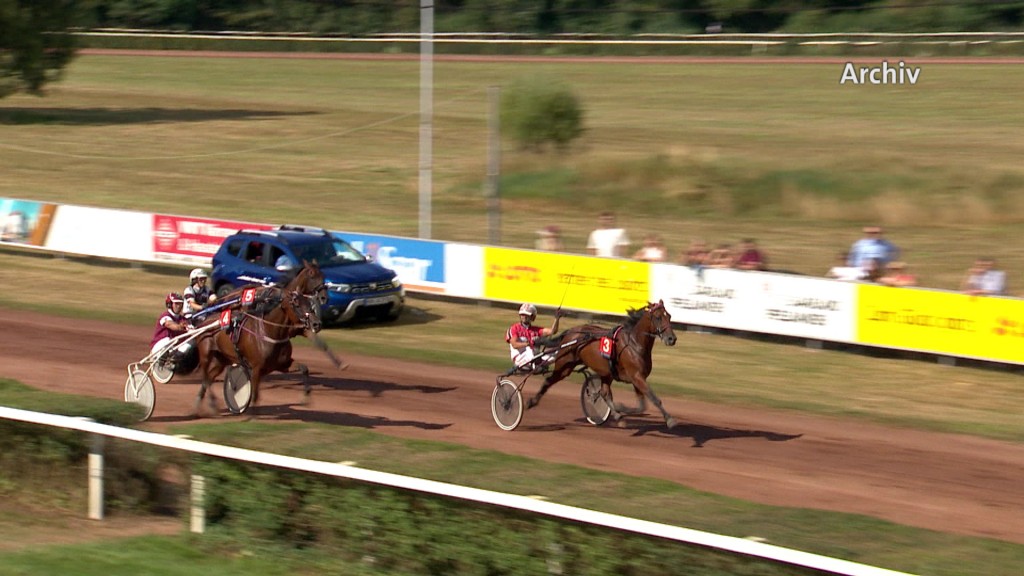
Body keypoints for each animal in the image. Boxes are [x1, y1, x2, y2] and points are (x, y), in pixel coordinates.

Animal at [190, 262, 321, 414]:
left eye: (308, 303)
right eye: (297, 304)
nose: (316, 323)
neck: (270, 331)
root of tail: (205, 321)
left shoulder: (282, 364)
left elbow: (304, 368)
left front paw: (306, 395)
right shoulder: (256, 368)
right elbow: (255, 394)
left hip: (222, 359)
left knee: (209, 377)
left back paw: (200, 403)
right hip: (206, 354)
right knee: (205, 376)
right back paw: (211, 402)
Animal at [528, 301, 679, 426]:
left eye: (669, 316)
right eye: (658, 317)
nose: (672, 339)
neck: (634, 343)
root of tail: (571, 332)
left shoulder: (637, 378)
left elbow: (641, 406)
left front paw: (620, 409)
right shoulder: (636, 376)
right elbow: (653, 398)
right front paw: (670, 420)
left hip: (605, 373)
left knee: (605, 392)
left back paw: (617, 415)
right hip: (564, 365)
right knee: (549, 380)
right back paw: (531, 402)